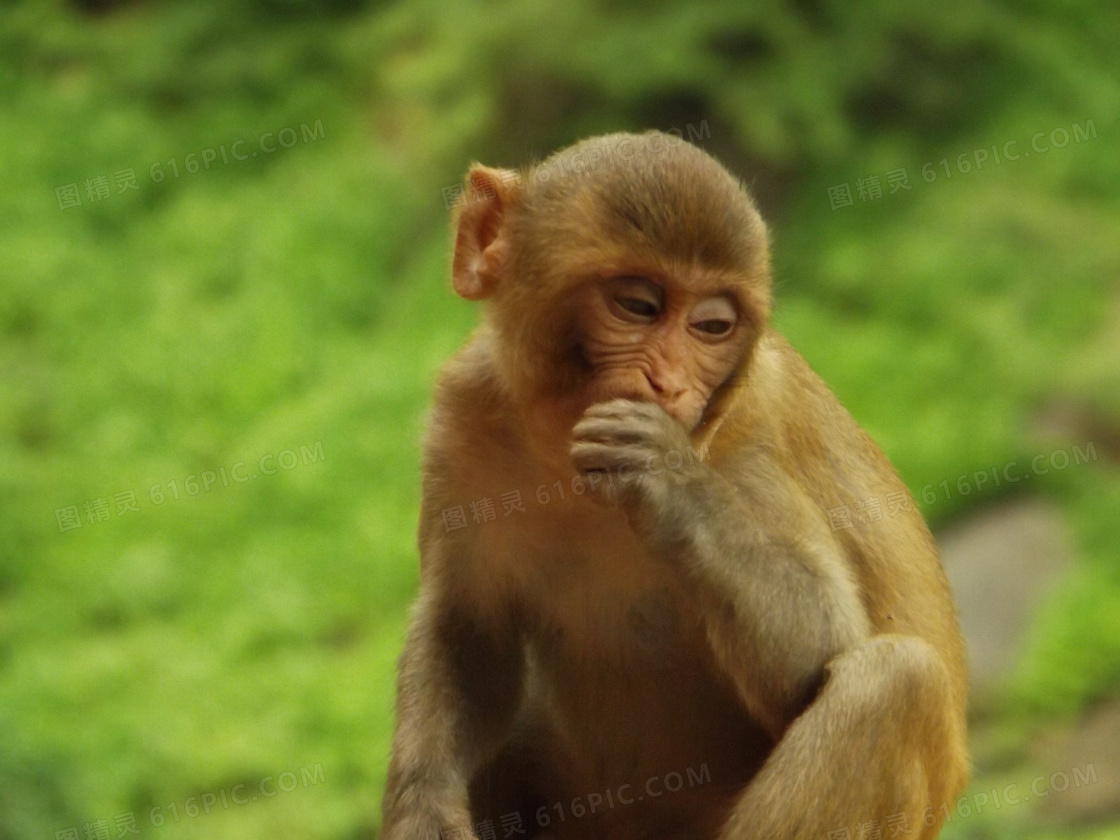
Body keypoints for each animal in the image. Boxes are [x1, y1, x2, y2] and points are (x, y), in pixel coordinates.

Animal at [380, 131, 967, 840]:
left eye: (712, 326)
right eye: (638, 305)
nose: (668, 383)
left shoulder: (749, 440)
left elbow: (823, 649)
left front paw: (666, 476)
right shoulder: (464, 415)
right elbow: (468, 633)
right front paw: (423, 805)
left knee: (895, 683)